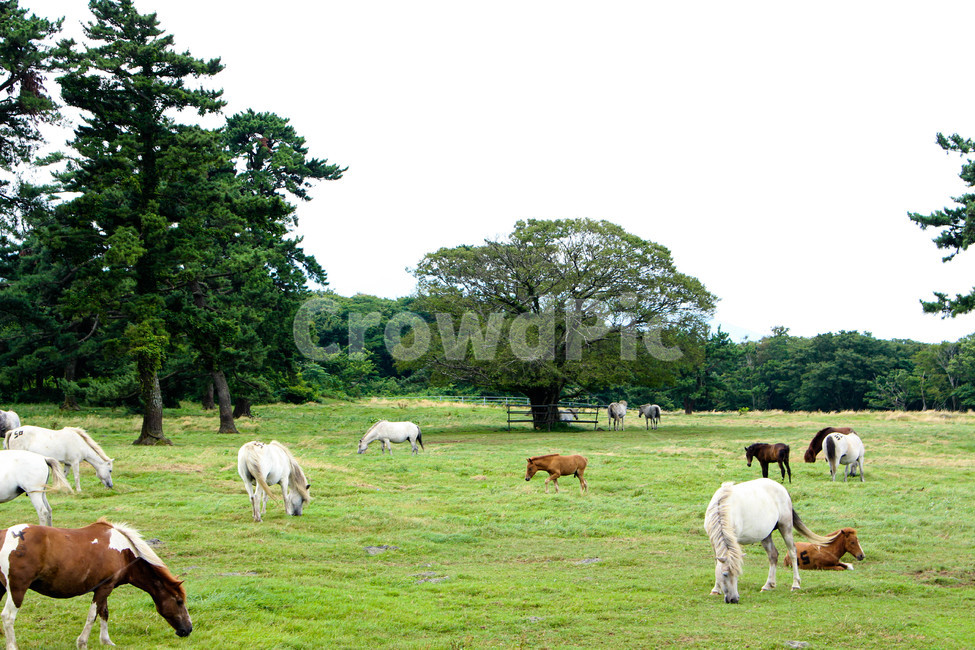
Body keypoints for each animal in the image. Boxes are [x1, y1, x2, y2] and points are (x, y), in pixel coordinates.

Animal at [0, 518, 192, 649]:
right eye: (179, 601)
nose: (188, 629)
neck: (124, 552)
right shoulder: (103, 588)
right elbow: (93, 615)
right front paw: (82, 642)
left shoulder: (105, 588)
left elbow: (104, 612)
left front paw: (106, 641)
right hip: (17, 590)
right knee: (8, 617)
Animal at [704, 478, 832, 604]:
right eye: (725, 574)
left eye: (738, 574)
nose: (734, 599)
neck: (722, 507)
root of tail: (782, 488)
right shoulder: (713, 541)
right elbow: (717, 564)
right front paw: (716, 589)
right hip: (766, 535)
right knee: (773, 555)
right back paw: (768, 585)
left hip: (785, 527)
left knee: (792, 552)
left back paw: (795, 584)